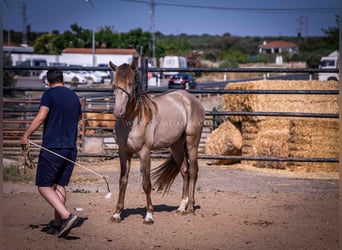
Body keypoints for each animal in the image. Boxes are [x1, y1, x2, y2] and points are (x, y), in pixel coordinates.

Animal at [109, 61, 204, 225]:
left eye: (129, 84)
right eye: (114, 85)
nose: (118, 112)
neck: (133, 120)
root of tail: (192, 99)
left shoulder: (145, 152)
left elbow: (146, 183)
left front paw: (149, 215)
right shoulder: (124, 152)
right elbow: (123, 181)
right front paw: (117, 214)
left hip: (192, 143)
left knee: (193, 171)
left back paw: (191, 207)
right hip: (176, 146)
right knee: (184, 171)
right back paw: (181, 207)